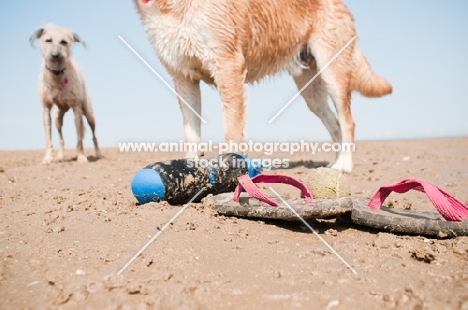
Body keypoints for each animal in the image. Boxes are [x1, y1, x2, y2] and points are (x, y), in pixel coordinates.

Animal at [29, 23, 100, 163]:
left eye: (63, 42)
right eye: (48, 40)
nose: (55, 55)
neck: (57, 74)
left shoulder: (77, 109)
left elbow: (79, 139)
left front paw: (81, 157)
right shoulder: (46, 109)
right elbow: (49, 139)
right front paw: (48, 158)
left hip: (89, 114)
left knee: (94, 135)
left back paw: (98, 153)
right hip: (58, 117)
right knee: (61, 137)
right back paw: (60, 155)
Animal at [132, 0, 392, 172]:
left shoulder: (228, 66)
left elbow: (232, 133)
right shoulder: (183, 78)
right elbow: (191, 134)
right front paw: (193, 173)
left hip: (332, 71)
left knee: (347, 122)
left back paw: (344, 165)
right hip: (310, 90)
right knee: (335, 123)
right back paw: (335, 162)